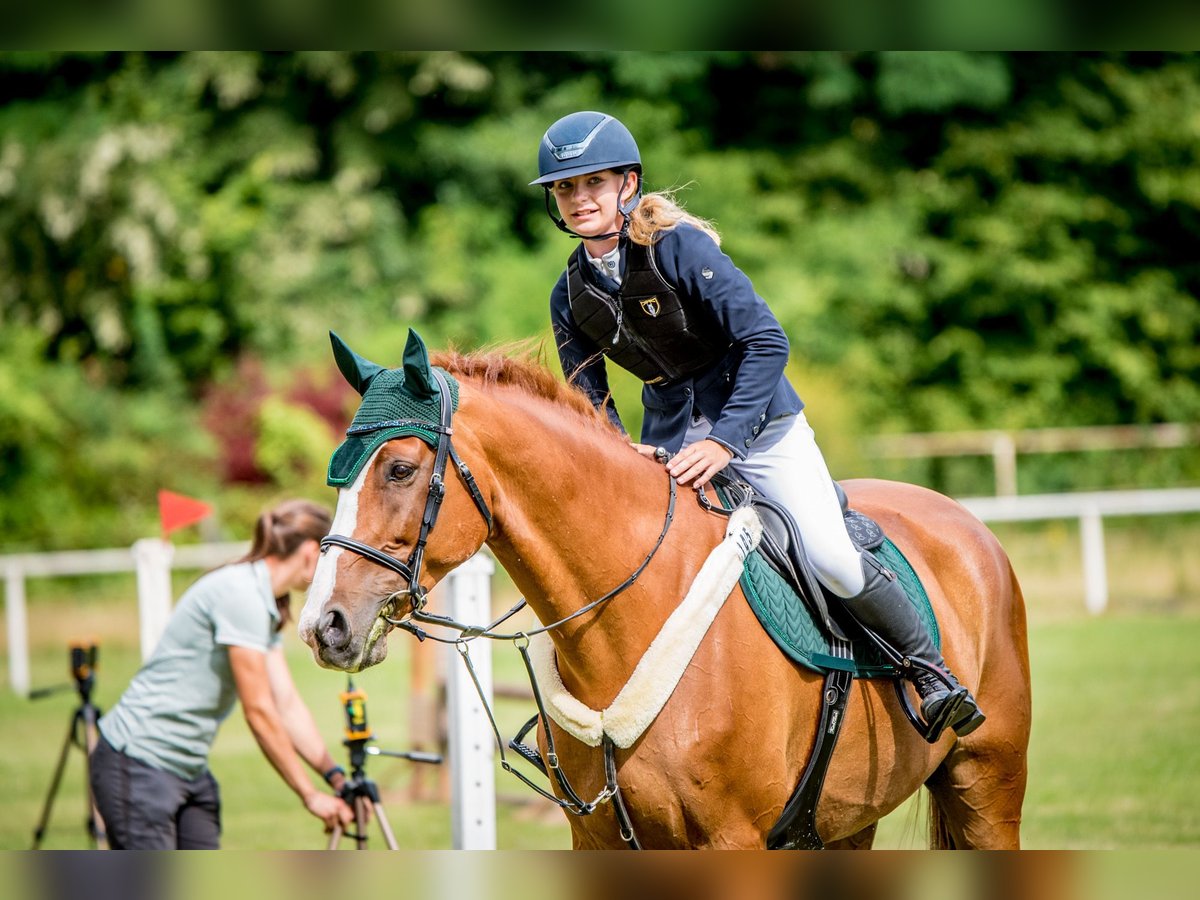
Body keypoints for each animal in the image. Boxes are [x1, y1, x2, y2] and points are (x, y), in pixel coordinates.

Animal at [300, 333, 1032, 854]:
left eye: (399, 469)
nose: (323, 626)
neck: (629, 617)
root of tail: (966, 522)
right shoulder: (596, 839)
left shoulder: (734, 840)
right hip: (849, 819)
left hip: (987, 785)